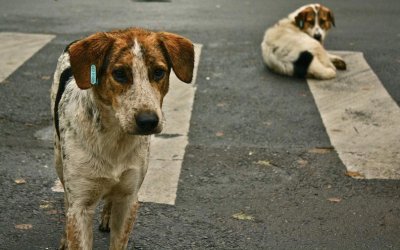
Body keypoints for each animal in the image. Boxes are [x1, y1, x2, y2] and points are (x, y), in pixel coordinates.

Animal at [50, 28, 195, 249]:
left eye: (158, 72)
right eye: (119, 74)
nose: (148, 121)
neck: (114, 138)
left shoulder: (129, 199)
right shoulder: (81, 204)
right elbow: (75, 219)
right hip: (59, 158)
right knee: (66, 198)